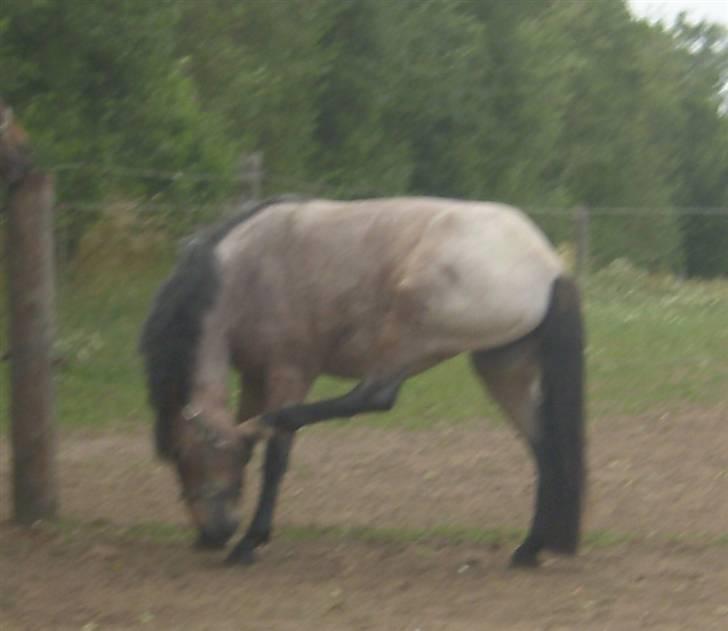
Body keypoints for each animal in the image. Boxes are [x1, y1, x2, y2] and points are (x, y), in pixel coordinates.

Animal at [139, 196, 585, 568]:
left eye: (180, 453)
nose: (214, 534)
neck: (245, 270)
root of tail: (547, 267)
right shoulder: (253, 374)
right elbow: (247, 442)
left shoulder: (289, 370)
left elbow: (276, 457)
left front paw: (250, 542)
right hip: (500, 367)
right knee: (543, 447)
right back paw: (529, 549)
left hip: (410, 327)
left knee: (375, 395)